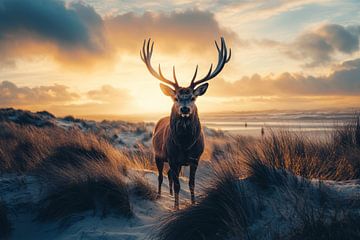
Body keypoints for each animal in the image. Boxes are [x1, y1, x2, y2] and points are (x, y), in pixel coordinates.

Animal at [140, 36, 231, 209]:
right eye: (176, 98)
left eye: (193, 97)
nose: (184, 109)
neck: (185, 144)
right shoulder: (173, 158)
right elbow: (177, 184)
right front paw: (176, 207)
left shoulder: (195, 159)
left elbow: (191, 184)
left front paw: (193, 203)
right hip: (157, 154)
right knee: (161, 176)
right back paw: (159, 195)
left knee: (169, 175)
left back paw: (169, 195)